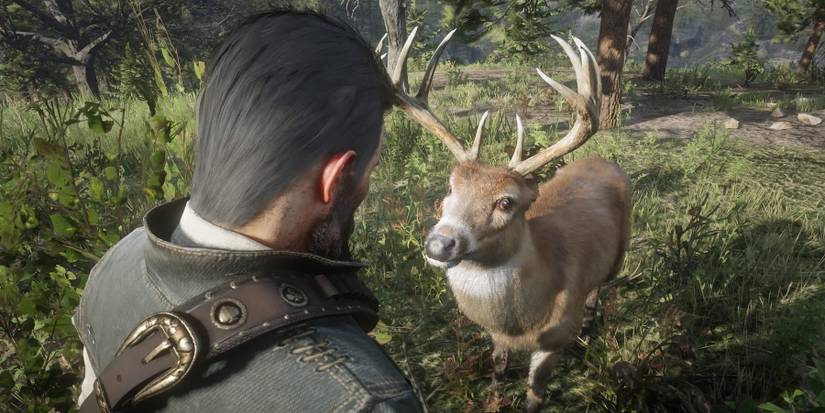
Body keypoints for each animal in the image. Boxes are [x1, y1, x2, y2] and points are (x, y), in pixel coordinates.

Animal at [385, 28, 632, 412]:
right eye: (451, 185)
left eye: (506, 202)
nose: (439, 244)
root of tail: (604, 161)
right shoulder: (496, 336)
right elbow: (498, 371)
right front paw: (494, 398)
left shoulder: (555, 337)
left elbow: (535, 394)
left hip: (621, 250)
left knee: (598, 289)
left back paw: (589, 334)